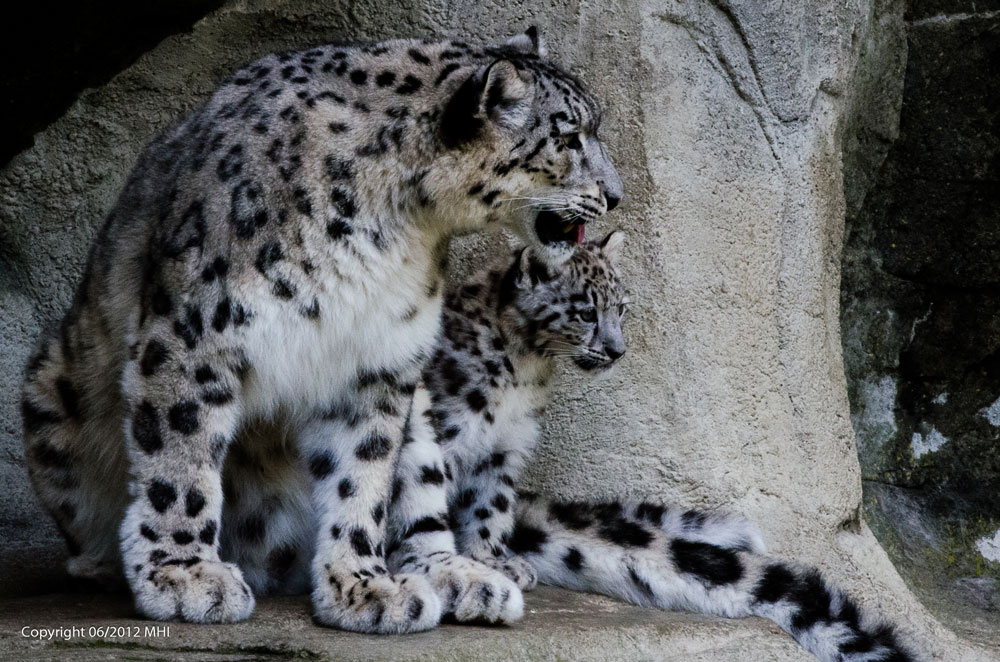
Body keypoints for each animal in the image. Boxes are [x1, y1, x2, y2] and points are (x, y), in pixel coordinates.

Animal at [19, 28, 616, 636]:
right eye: (570, 137)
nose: (614, 196)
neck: (393, 226)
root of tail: (270, 554)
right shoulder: (196, 332)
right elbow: (181, 456)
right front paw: (185, 575)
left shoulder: (379, 359)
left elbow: (363, 477)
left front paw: (363, 585)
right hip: (52, 391)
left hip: (422, 415)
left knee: (422, 500)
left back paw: (466, 577)